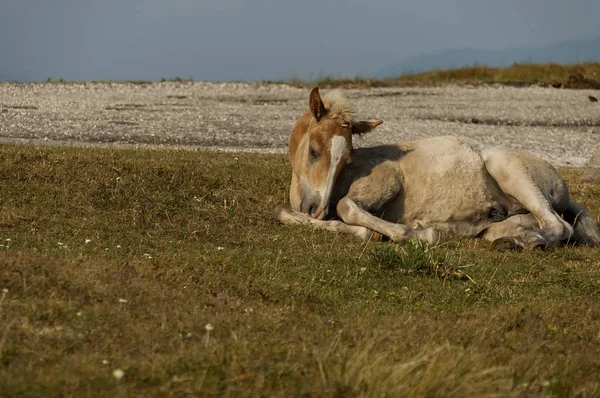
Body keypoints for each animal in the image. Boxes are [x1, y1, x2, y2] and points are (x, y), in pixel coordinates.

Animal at [276, 87, 600, 250]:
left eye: (347, 160)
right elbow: (283, 213)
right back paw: (513, 242)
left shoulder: (387, 178)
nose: (316, 209)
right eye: (314, 151)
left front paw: (420, 233)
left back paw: (533, 242)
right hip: (506, 220)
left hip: (510, 171)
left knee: (559, 225)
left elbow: (346, 207)